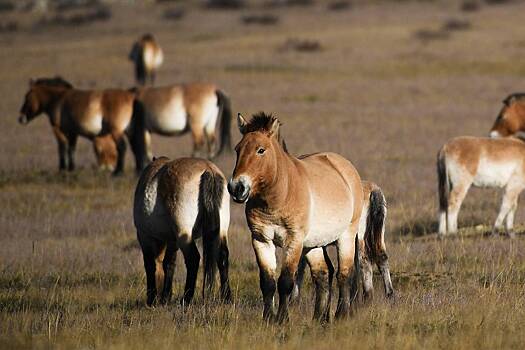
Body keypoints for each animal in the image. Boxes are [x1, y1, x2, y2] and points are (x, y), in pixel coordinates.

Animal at [17, 77, 146, 175]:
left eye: (27, 97)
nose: (20, 118)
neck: (58, 98)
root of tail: (132, 97)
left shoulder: (59, 130)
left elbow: (62, 147)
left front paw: (62, 168)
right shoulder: (72, 132)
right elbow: (71, 149)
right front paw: (71, 168)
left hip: (116, 131)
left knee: (122, 147)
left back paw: (118, 172)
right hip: (130, 131)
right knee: (135, 147)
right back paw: (137, 170)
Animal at [134, 156, 232, 306]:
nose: (159, 298)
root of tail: (208, 170)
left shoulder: (145, 237)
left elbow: (150, 265)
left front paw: (152, 298)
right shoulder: (172, 240)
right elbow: (169, 264)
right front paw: (165, 297)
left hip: (183, 236)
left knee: (193, 259)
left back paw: (186, 299)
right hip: (221, 232)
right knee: (222, 257)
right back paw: (227, 298)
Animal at [227, 112, 366, 322]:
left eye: (261, 150)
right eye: (237, 149)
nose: (236, 187)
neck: (279, 195)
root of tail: (345, 167)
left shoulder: (293, 240)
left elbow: (285, 281)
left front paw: (282, 319)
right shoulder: (261, 239)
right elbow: (267, 282)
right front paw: (268, 318)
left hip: (346, 236)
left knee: (344, 274)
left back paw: (341, 314)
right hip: (313, 245)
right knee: (322, 275)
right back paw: (319, 318)